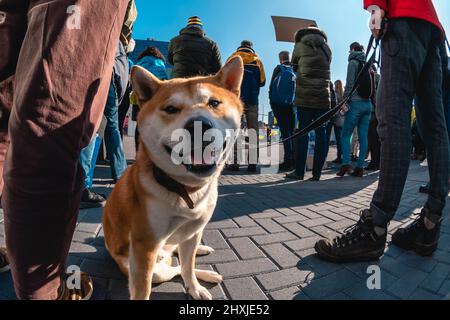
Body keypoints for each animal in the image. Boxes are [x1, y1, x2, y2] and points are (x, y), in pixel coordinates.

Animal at [103, 55, 244, 300]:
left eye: (214, 103)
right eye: (170, 108)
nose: (198, 124)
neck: (185, 190)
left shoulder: (192, 232)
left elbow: (188, 266)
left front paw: (194, 287)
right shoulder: (144, 246)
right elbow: (145, 289)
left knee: (182, 261)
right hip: (150, 267)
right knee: (173, 267)